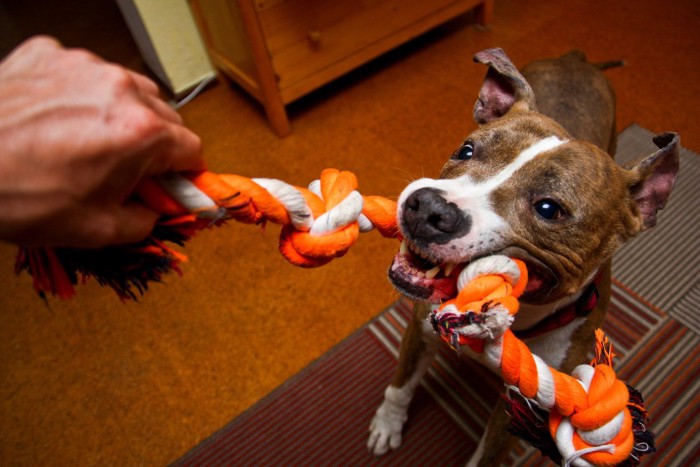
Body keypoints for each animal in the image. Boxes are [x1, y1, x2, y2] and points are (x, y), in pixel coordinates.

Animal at [366, 49, 680, 466]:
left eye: (548, 209)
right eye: (466, 150)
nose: (429, 208)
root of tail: (577, 58)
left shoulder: (522, 409)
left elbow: (489, 454)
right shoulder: (420, 329)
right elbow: (400, 385)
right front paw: (388, 424)